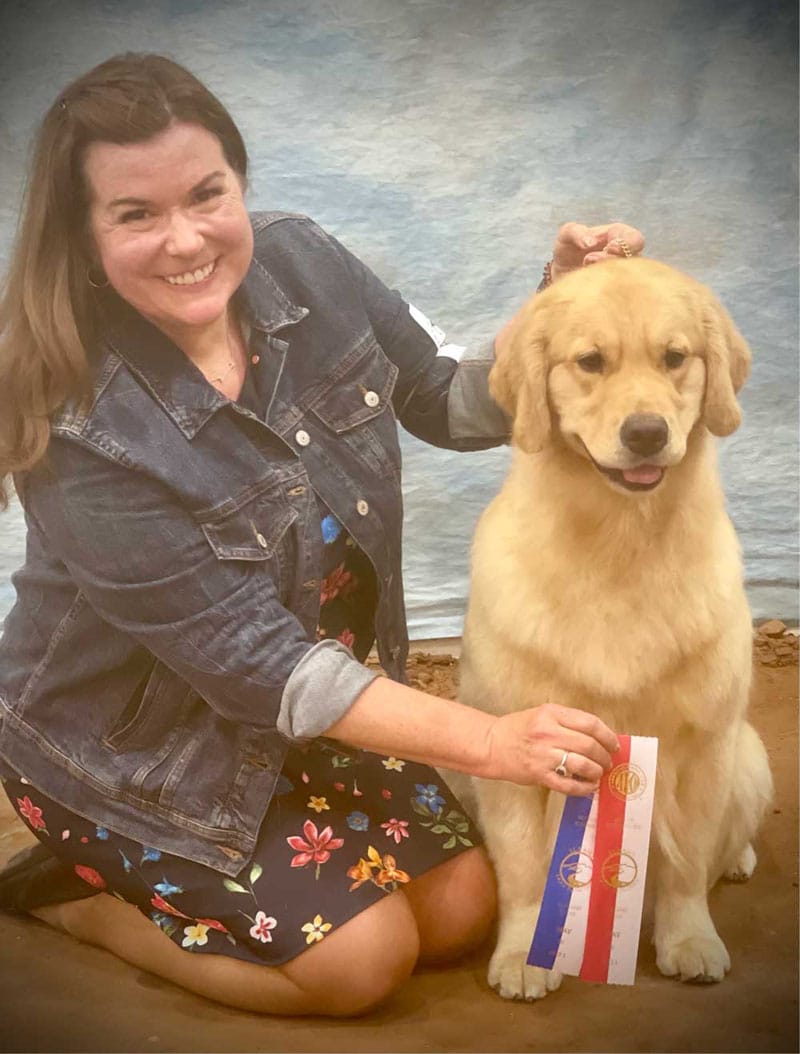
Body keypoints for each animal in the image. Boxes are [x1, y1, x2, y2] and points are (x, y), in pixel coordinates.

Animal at [459, 259, 779, 999]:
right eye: (590, 362)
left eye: (675, 358)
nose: (646, 433)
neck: (620, 544)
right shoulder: (515, 744)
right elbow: (525, 869)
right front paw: (524, 954)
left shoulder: (701, 744)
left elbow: (688, 864)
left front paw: (689, 940)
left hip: (749, 755)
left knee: (726, 841)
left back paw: (740, 859)